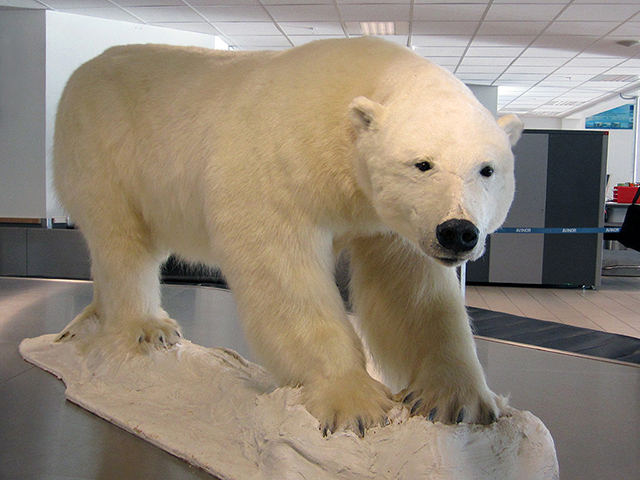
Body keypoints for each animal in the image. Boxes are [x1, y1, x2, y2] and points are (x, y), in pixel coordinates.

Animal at [53, 37, 523, 436]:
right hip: (101, 146)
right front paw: (354, 401)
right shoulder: (283, 160)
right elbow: (283, 268)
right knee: (121, 239)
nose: (458, 231)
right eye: (422, 164)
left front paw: (457, 400)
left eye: (487, 169)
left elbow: (411, 293)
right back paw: (147, 328)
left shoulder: (392, 220)